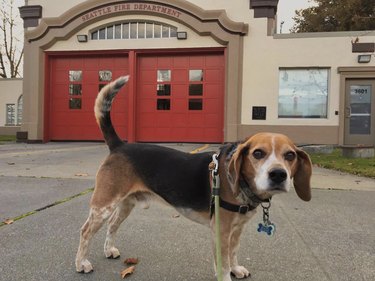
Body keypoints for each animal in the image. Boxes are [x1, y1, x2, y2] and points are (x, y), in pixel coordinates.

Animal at [75, 75, 312, 278]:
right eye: (258, 153)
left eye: (290, 155)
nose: (278, 174)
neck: (241, 184)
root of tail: (119, 145)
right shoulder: (221, 231)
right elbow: (223, 265)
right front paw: (228, 273)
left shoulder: (236, 230)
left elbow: (233, 252)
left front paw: (236, 268)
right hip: (104, 205)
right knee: (86, 231)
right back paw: (82, 264)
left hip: (126, 204)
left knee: (112, 224)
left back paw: (109, 250)